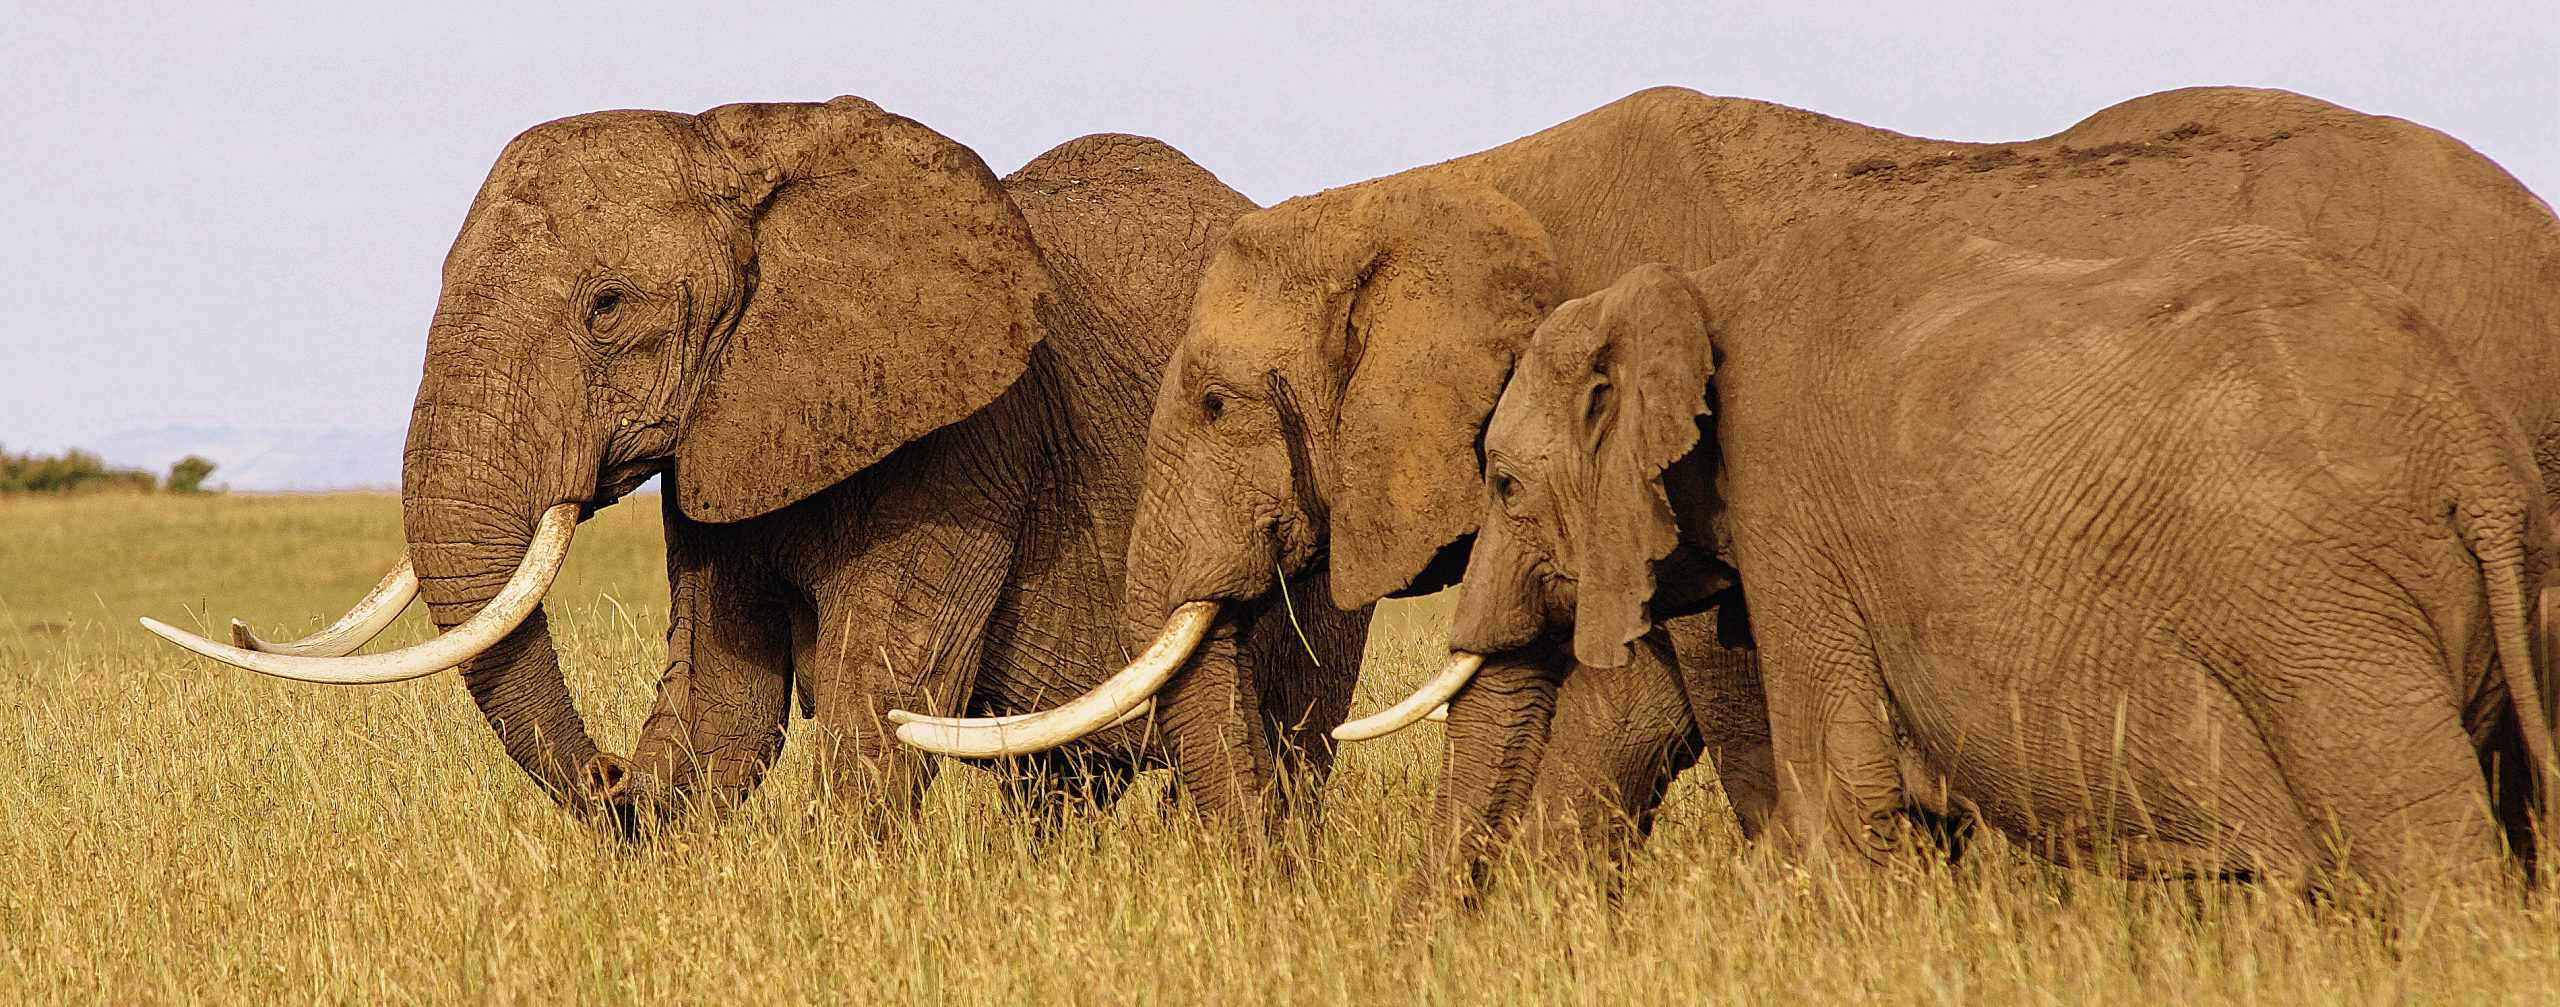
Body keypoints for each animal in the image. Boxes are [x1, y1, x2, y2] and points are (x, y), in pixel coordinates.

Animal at [141, 97, 1368, 835]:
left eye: (605, 307)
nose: (606, 774)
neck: (747, 142)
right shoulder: (723, 428)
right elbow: (722, 709)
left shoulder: (973, 437)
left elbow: (883, 703)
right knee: (1054, 793)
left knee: (1285, 737)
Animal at [1441, 220, 2560, 894]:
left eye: (1503, 483)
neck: (1698, 283)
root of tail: (2473, 449)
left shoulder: (1788, 506)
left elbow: (1841, 792)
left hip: (2320, 616)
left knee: (2429, 846)